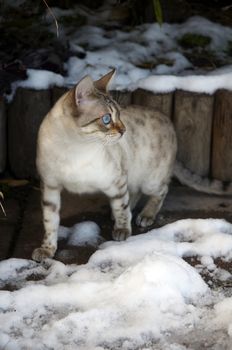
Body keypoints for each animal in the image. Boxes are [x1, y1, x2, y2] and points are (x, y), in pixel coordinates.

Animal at [31, 69, 232, 262]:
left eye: (119, 115)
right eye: (106, 119)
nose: (123, 130)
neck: (74, 148)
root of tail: (170, 123)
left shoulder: (116, 180)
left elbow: (121, 207)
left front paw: (122, 230)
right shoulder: (49, 187)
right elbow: (50, 223)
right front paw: (47, 250)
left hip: (149, 180)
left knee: (160, 190)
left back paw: (145, 216)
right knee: (134, 193)